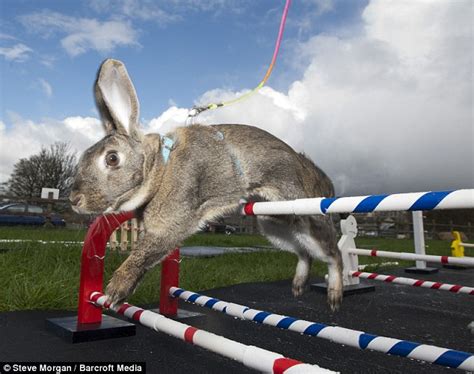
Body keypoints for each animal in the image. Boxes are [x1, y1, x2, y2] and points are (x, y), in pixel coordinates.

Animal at [69, 58, 340, 310]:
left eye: (112, 158)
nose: (74, 199)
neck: (160, 168)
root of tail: (304, 167)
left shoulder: (170, 224)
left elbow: (143, 254)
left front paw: (116, 290)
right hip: (273, 224)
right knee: (305, 253)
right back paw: (298, 286)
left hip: (307, 216)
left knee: (333, 253)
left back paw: (335, 296)